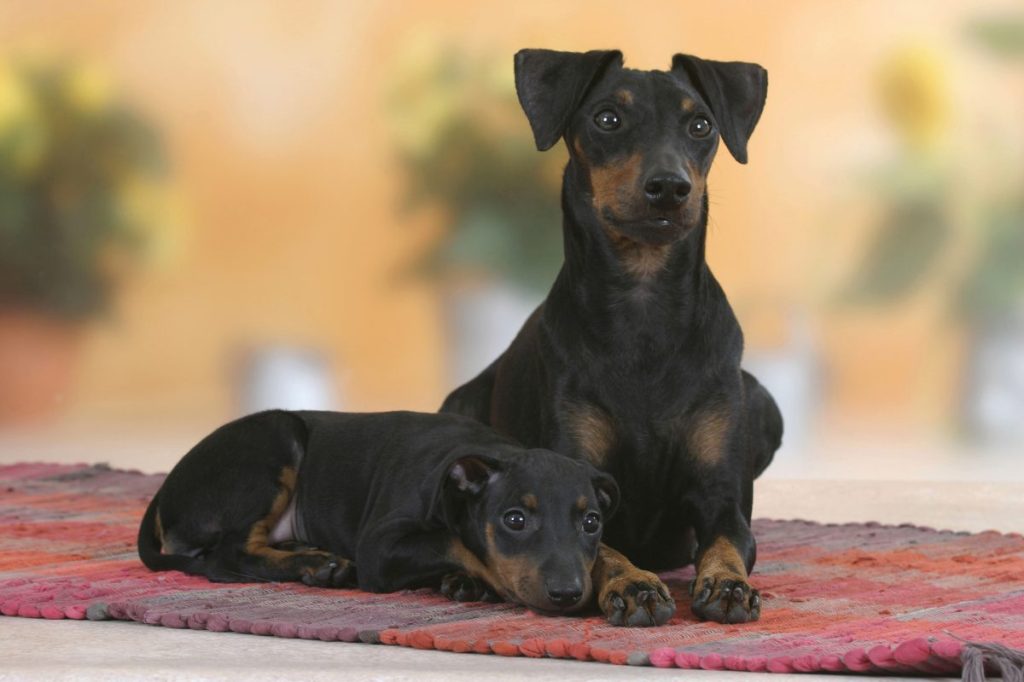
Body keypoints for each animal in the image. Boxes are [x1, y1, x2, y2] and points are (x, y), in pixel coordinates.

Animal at [138, 409, 638, 614]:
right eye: (514, 519)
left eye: (592, 522)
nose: (568, 594)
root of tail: (165, 492)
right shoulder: (380, 545)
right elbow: (455, 541)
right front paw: (487, 580)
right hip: (276, 439)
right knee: (226, 557)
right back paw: (318, 564)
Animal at [440, 47, 782, 622]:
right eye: (607, 118)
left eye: (701, 125)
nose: (669, 188)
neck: (644, 308)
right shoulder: (574, 478)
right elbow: (602, 549)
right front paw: (634, 584)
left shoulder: (721, 498)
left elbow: (726, 543)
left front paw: (728, 585)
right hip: (460, 409)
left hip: (761, 400)